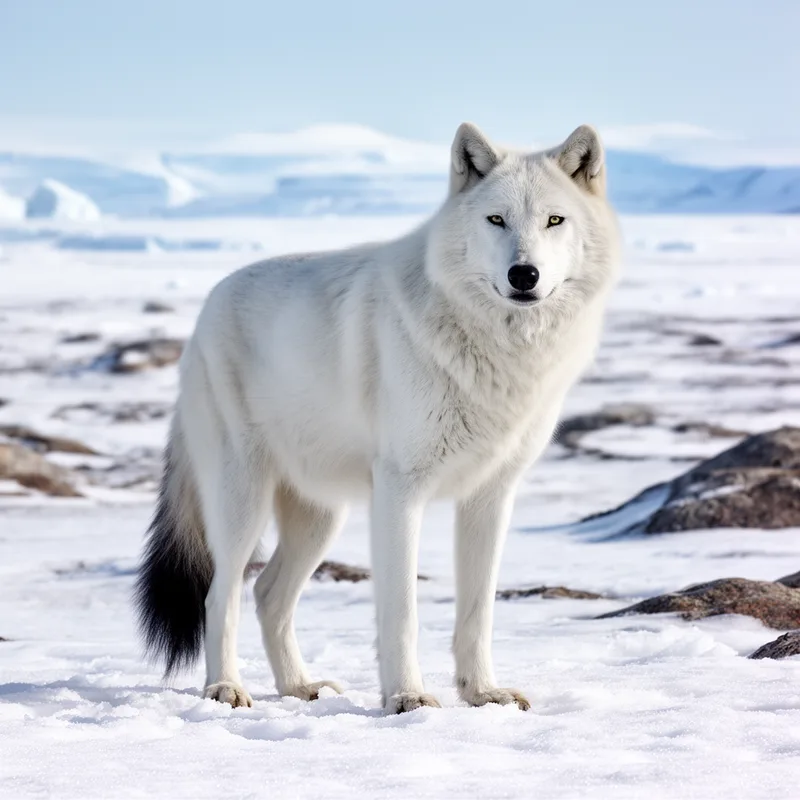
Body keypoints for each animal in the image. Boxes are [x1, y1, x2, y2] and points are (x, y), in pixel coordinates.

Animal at [135, 122, 620, 713]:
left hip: (321, 517)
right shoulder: (399, 490)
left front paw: (483, 693)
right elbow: (402, 611)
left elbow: (477, 612)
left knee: (268, 594)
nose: (523, 275)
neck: (500, 354)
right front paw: (406, 697)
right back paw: (225, 688)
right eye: (496, 220)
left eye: (554, 220)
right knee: (219, 594)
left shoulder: (491, 496)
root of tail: (206, 308)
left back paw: (299, 687)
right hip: (242, 502)